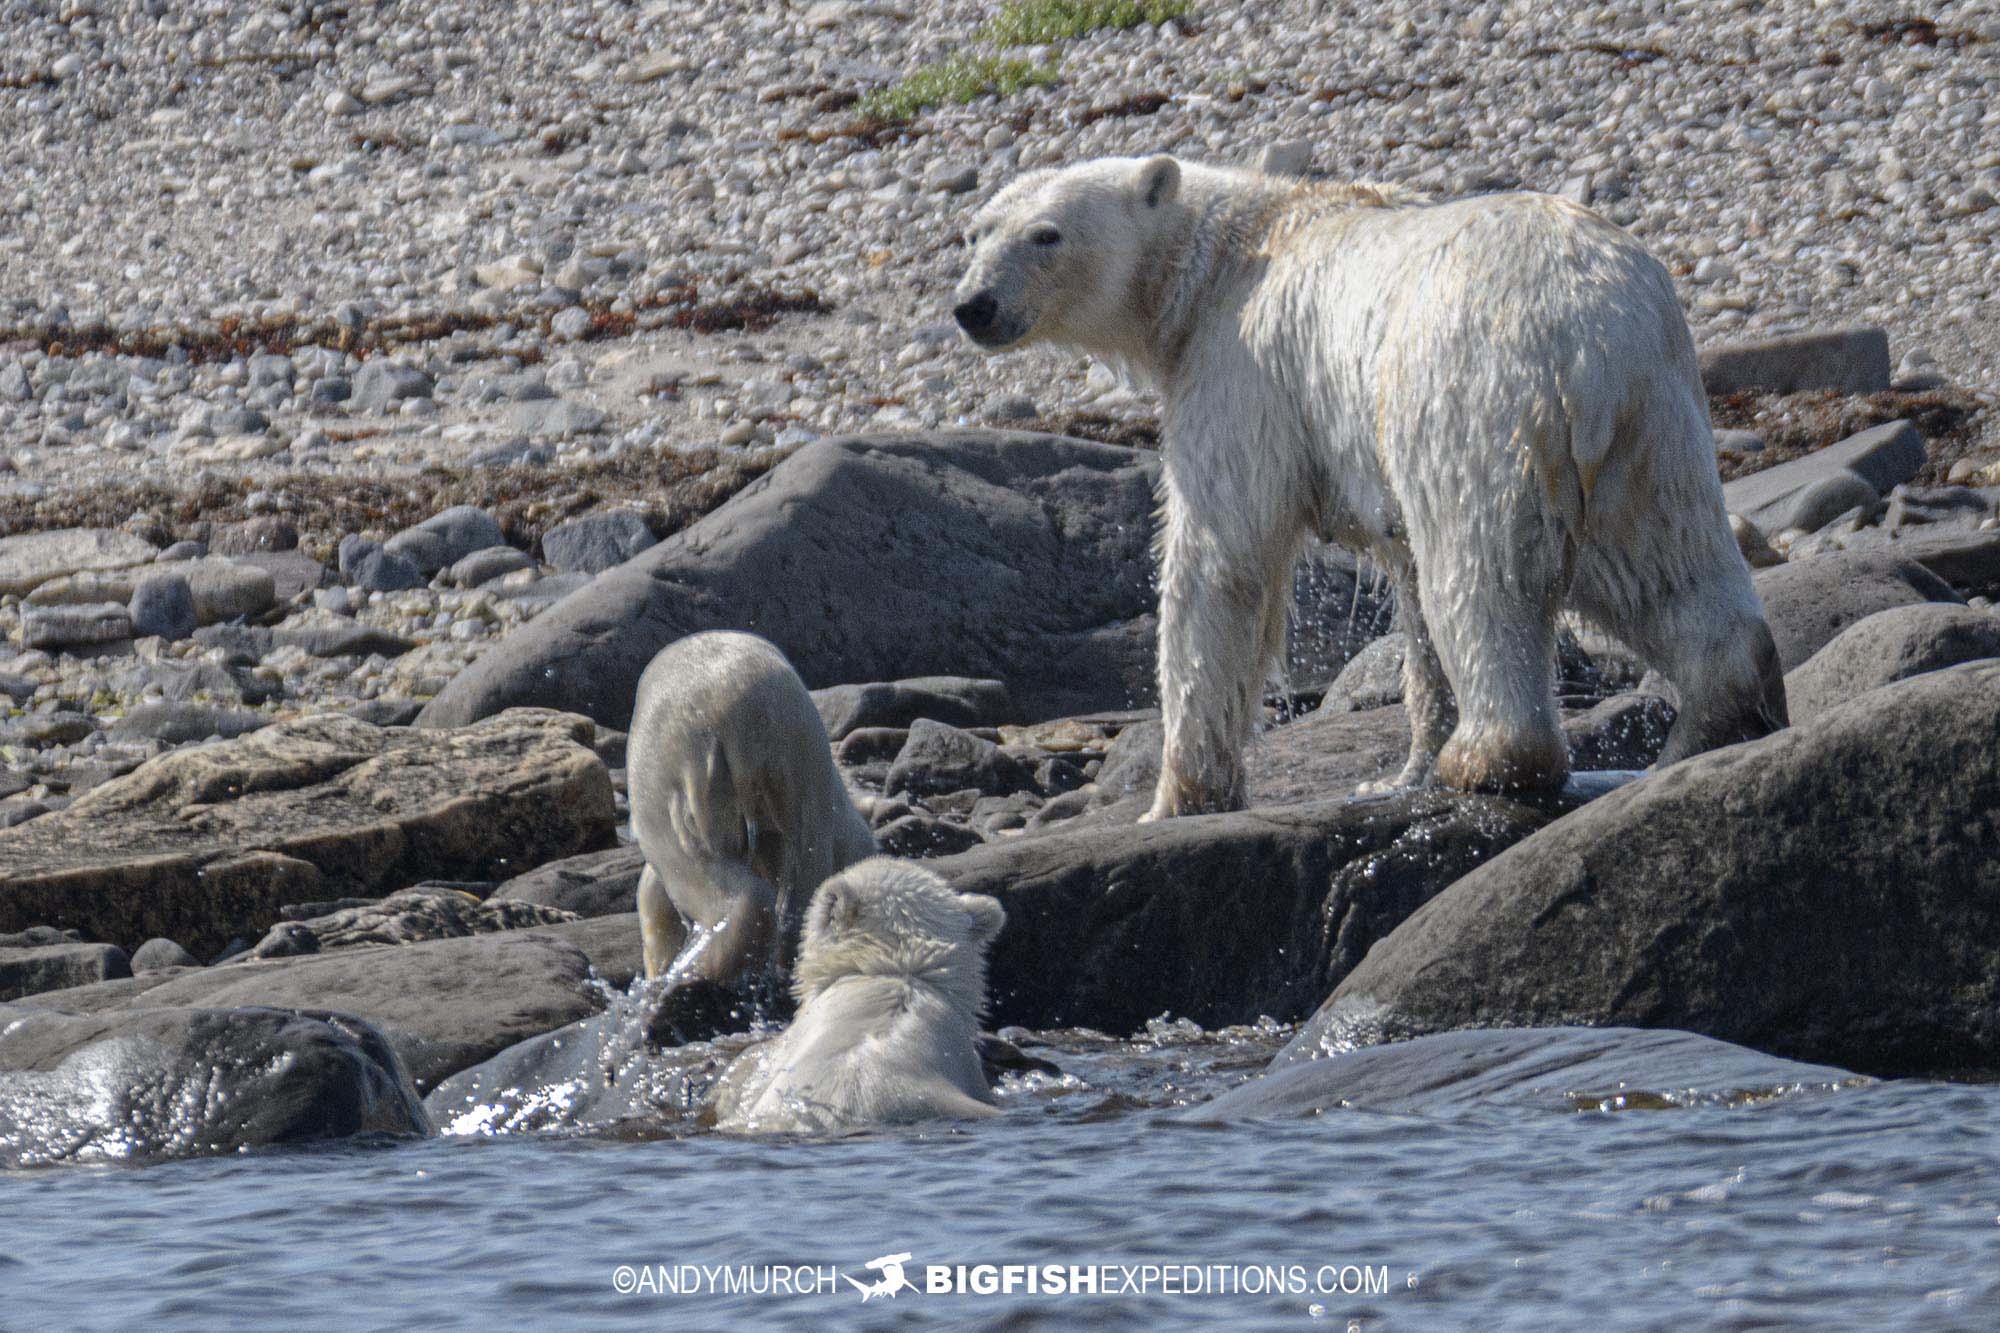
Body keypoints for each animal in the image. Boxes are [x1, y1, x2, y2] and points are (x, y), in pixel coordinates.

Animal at [952, 157, 1784, 820]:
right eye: (978, 232)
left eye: (1046, 234)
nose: (973, 305)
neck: (1230, 253)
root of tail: (1587, 336)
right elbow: (1407, 589)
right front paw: (1403, 769)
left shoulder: (1241, 368)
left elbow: (1223, 558)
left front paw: (1178, 797)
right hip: (1655, 421)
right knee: (1666, 563)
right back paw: (1710, 718)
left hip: (1470, 395)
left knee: (1481, 574)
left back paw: (1487, 757)